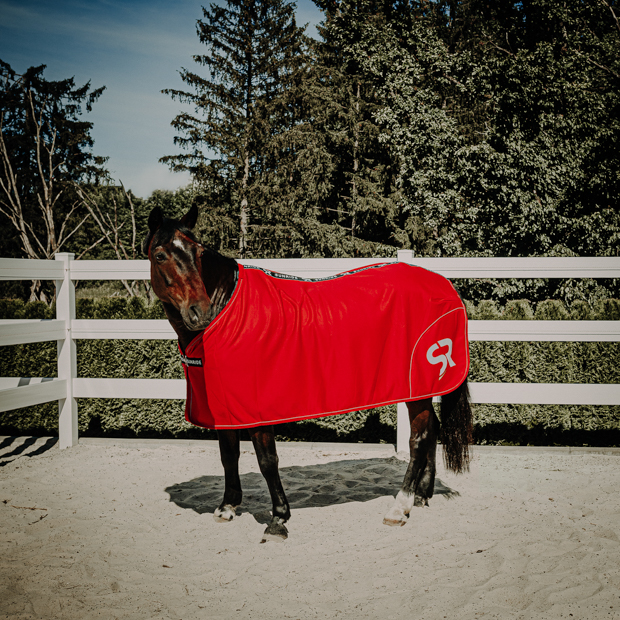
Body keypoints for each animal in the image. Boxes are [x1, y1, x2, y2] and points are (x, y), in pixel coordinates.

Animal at [144, 205, 474, 544]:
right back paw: (421, 496)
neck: (227, 311)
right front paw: (227, 507)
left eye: (198, 252)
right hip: (422, 388)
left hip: (415, 385)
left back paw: (400, 506)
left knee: (418, 439)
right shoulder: (225, 406)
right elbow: (229, 454)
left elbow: (267, 461)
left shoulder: (257, 408)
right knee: (432, 430)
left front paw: (278, 518)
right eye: (159, 255)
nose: (199, 311)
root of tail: (444, 285)